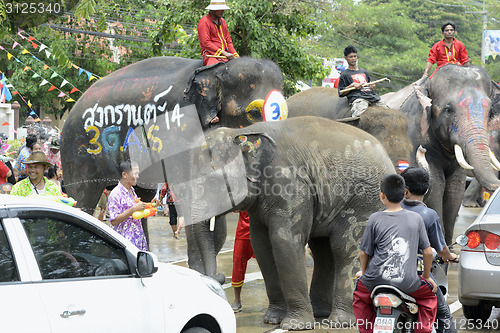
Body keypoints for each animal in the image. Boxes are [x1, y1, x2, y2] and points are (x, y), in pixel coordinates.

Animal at [60, 56, 284, 213]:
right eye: (253, 113)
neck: (216, 70)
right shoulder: (179, 130)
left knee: (142, 195)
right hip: (78, 154)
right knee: (82, 199)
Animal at [177, 115, 398, 328]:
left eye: (214, 183)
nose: (219, 277)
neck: (244, 131)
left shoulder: (290, 185)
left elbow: (285, 241)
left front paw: (294, 325)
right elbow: (262, 246)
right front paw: (272, 319)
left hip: (365, 200)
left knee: (345, 247)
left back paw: (340, 322)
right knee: (324, 252)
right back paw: (320, 312)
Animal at [382, 64, 500, 241]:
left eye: (490, 110)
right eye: (448, 110)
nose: (421, 151)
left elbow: (455, 188)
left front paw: (448, 244)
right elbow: (437, 184)